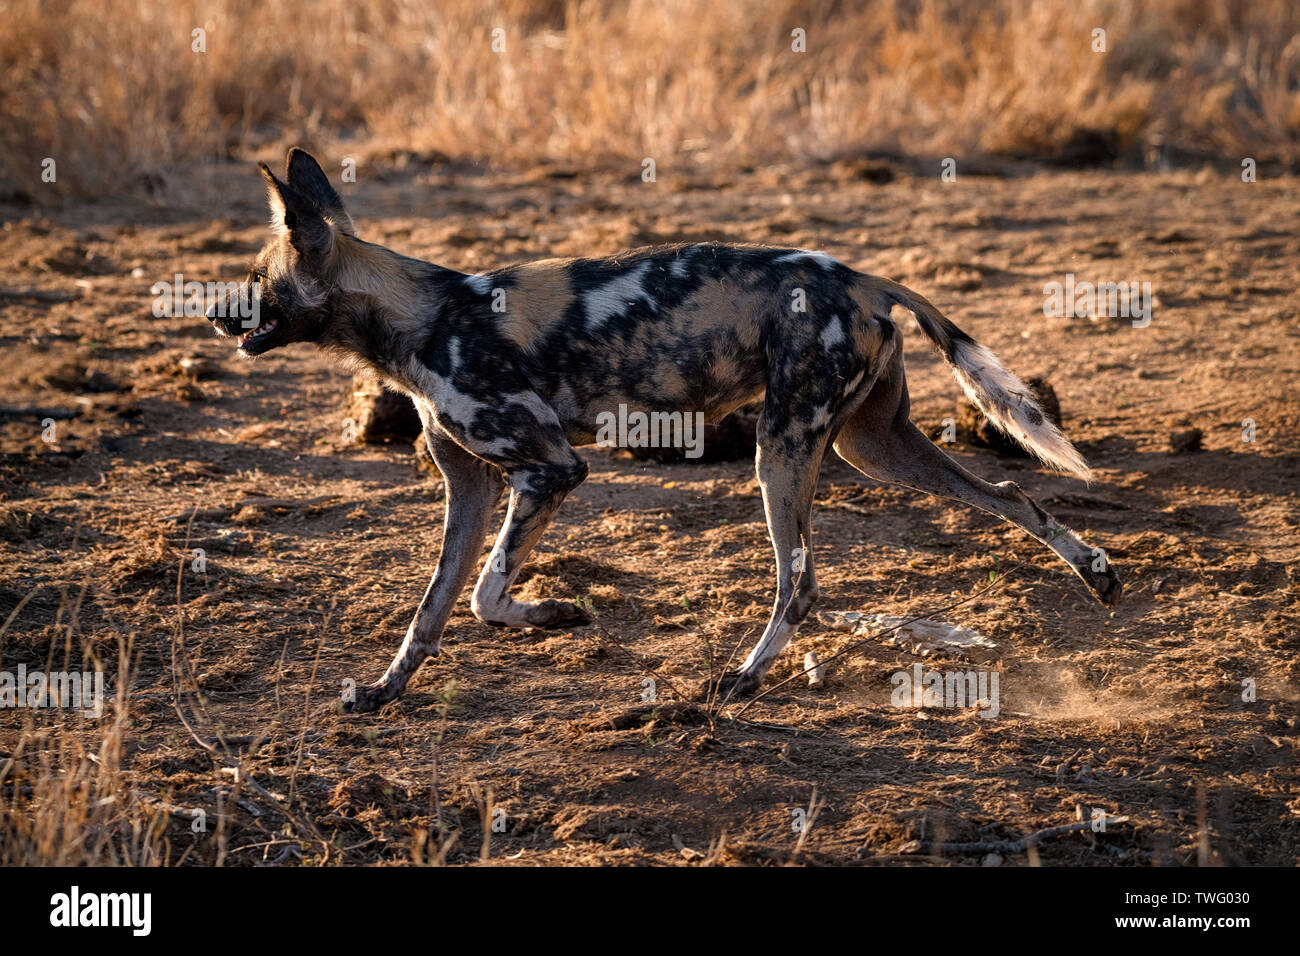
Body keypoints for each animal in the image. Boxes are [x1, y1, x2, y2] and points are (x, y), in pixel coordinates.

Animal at [208, 147, 1123, 712]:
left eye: (256, 279)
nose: (215, 313)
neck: (422, 317)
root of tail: (866, 276)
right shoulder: (468, 487)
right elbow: (432, 610)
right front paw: (385, 691)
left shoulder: (550, 470)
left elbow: (484, 594)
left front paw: (559, 614)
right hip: (874, 448)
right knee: (1009, 493)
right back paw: (1097, 575)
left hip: (782, 450)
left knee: (801, 584)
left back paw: (741, 682)